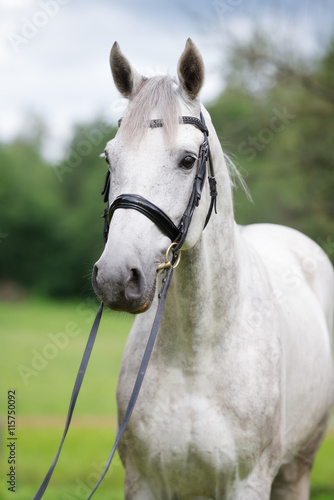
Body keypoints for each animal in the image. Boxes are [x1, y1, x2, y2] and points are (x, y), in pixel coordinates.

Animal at [92, 40, 334, 500]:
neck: (195, 356)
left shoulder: (248, 483)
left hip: (297, 468)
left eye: (188, 161)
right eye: (109, 159)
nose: (116, 277)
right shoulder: (145, 483)